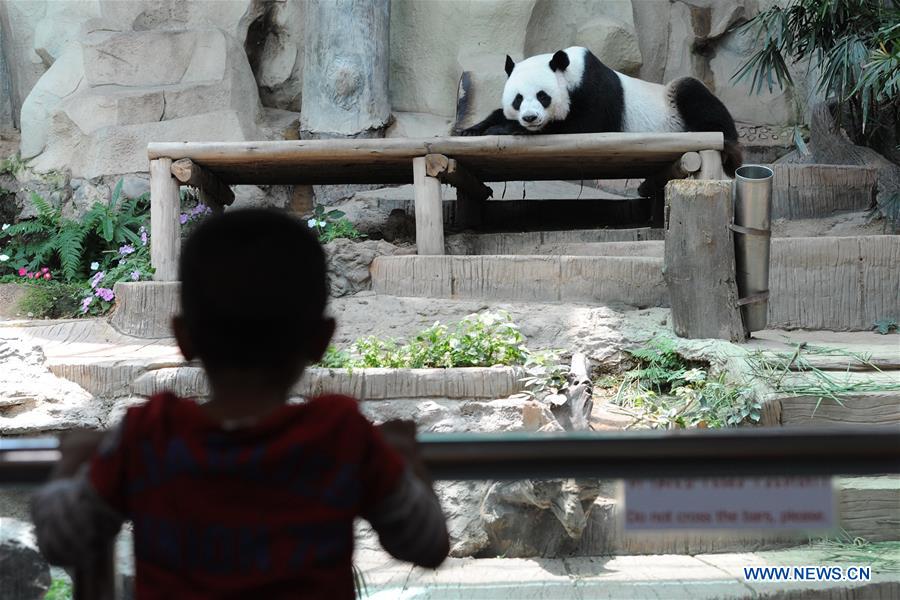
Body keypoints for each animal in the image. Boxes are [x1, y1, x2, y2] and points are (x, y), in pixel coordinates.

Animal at [460, 45, 740, 177]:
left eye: (542, 96)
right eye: (518, 100)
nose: (530, 118)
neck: (570, 71)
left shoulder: (596, 93)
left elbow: (581, 126)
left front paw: (504, 128)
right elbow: (495, 114)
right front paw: (471, 130)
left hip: (673, 101)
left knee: (693, 93)